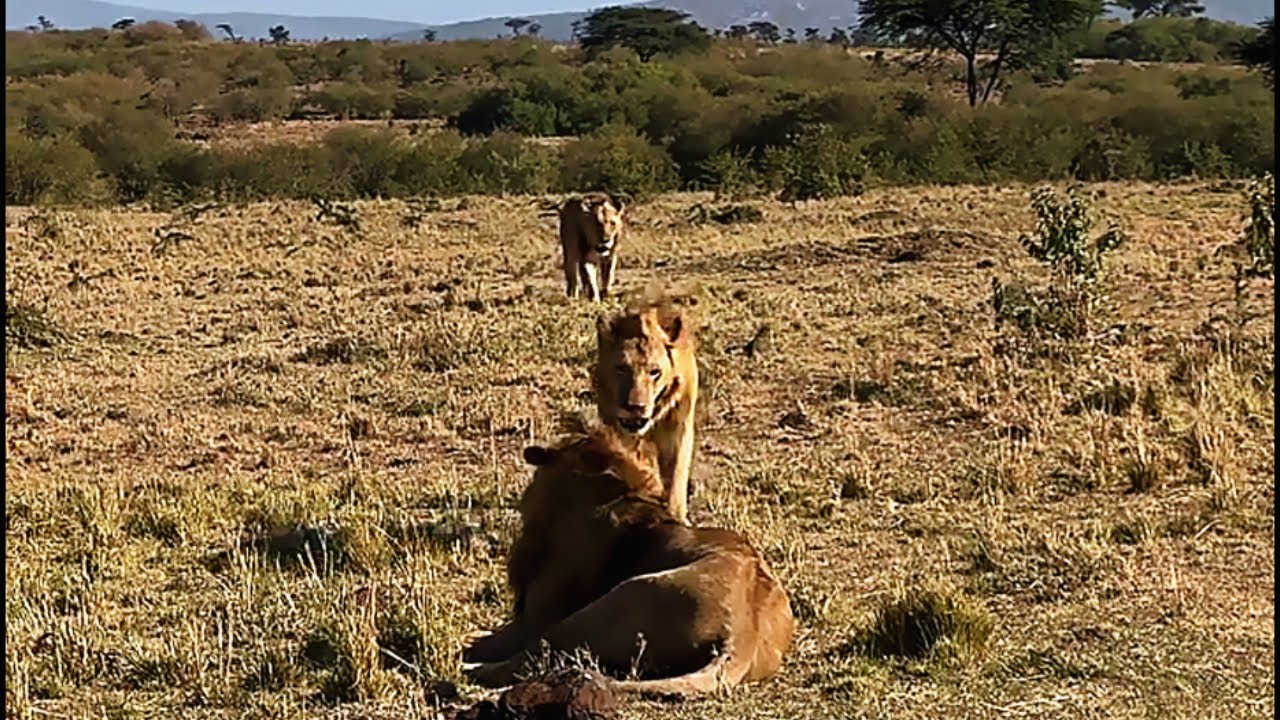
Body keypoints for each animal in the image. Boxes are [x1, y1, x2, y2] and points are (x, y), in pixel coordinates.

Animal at [594, 295, 699, 525]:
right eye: (621, 368)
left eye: (655, 372)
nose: (636, 407)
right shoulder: (618, 429)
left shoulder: (678, 426)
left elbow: (676, 476)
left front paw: (675, 515)